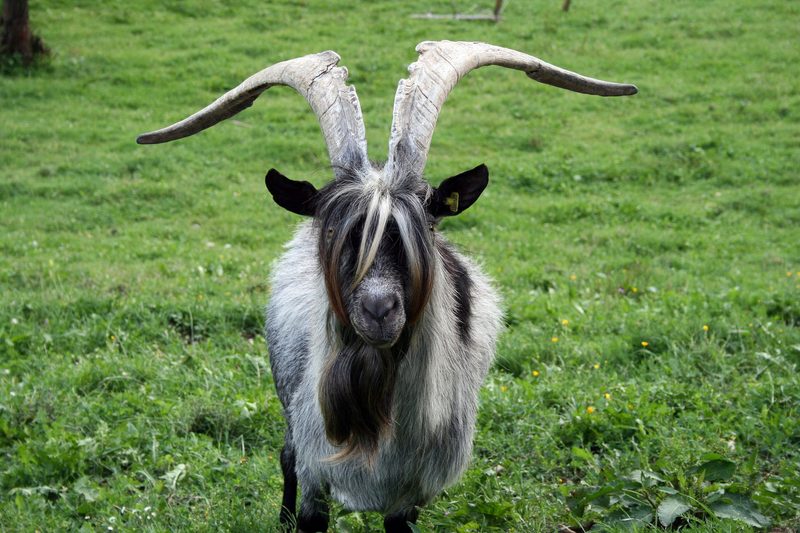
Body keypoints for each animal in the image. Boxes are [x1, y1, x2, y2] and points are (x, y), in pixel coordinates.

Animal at [137, 41, 636, 532]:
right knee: (285, 457)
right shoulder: (316, 465)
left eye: (425, 225)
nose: (378, 309)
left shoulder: (413, 489)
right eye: (335, 232)